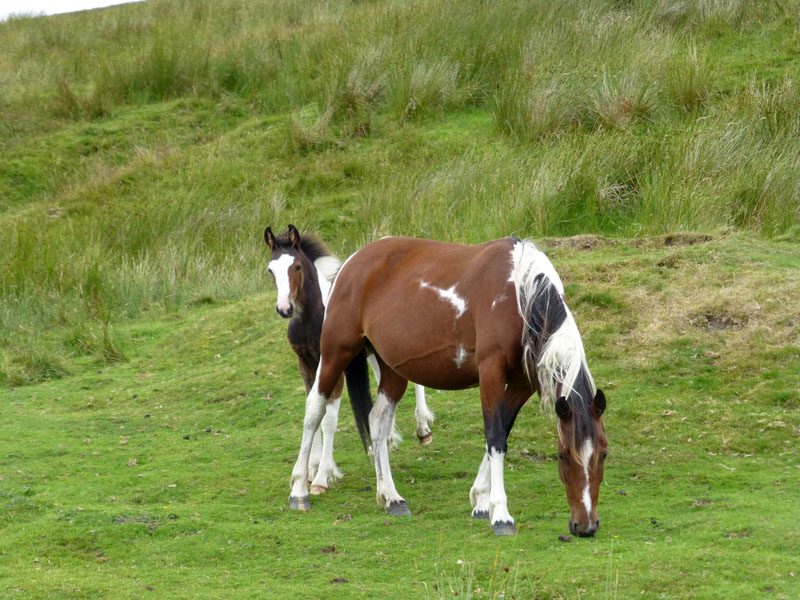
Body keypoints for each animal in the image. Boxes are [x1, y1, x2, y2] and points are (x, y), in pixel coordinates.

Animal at [264, 225, 434, 492]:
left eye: (297, 267)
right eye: (271, 270)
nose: (284, 309)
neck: (311, 319)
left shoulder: (336, 365)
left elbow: (329, 419)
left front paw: (323, 476)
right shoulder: (306, 364)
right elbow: (312, 406)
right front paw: (311, 469)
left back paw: (422, 428)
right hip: (375, 353)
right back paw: (387, 438)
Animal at [290, 237, 608, 536]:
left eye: (603, 453)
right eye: (563, 456)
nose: (586, 526)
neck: (520, 294)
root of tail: (351, 263)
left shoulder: (522, 383)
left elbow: (502, 432)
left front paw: (481, 501)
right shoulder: (491, 373)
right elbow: (495, 438)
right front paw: (500, 514)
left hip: (392, 371)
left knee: (377, 421)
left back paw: (391, 497)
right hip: (335, 352)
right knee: (314, 409)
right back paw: (300, 490)